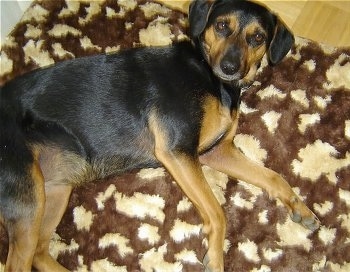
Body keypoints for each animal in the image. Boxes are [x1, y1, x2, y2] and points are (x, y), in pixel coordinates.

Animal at [0, 0, 320, 270]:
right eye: (221, 25)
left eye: (258, 37)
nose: (229, 67)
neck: (210, 75)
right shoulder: (178, 151)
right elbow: (218, 212)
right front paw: (215, 258)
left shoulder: (216, 151)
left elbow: (273, 176)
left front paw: (300, 207)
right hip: (29, 196)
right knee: (18, 262)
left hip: (54, 190)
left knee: (39, 253)